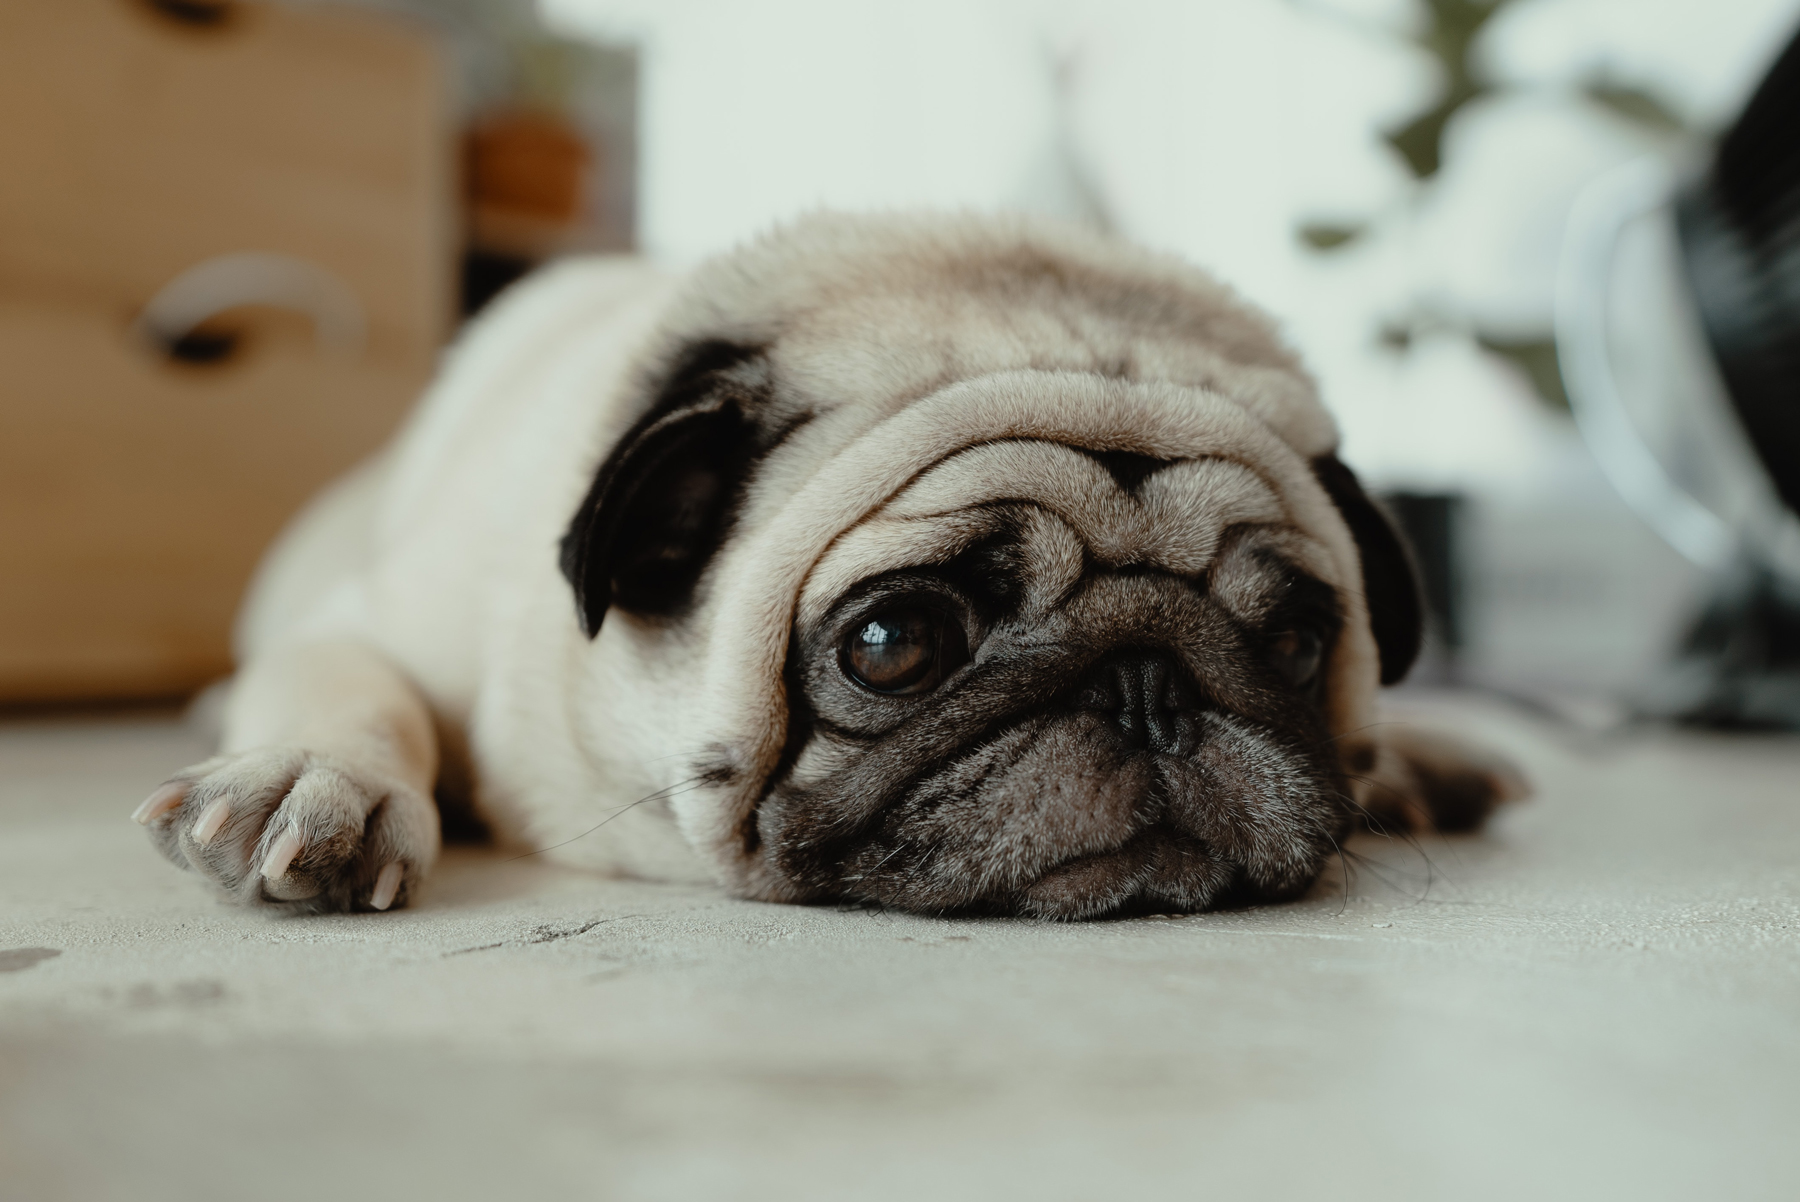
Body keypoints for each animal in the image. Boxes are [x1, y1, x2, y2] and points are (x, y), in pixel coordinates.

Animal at [133, 208, 1526, 921]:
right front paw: (321, 777)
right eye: (892, 643)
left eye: (1292, 639)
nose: (1148, 685)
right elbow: (351, 685)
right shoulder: (372, 624)